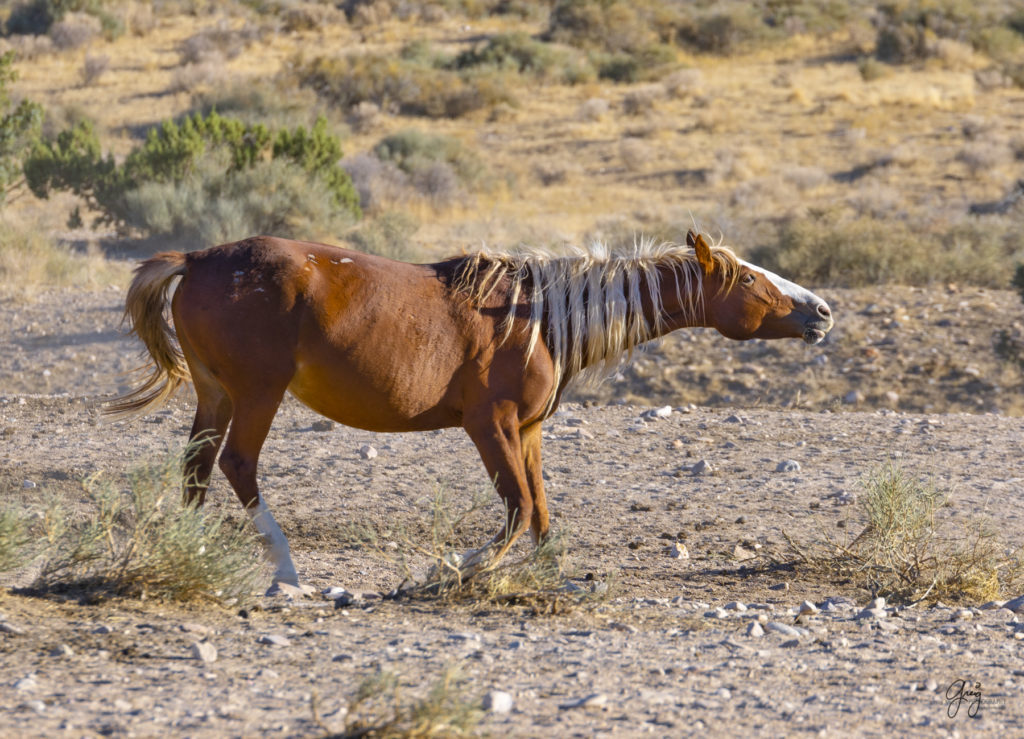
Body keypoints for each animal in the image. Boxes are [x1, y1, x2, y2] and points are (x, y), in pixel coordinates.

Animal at [108, 230, 835, 585]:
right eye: (749, 279)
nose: (822, 311)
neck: (540, 318)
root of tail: (199, 257)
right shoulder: (490, 424)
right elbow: (516, 508)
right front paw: (452, 568)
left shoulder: (529, 430)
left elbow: (541, 511)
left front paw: (553, 575)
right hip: (257, 392)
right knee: (238, 464)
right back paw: (284, 569)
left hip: (215, 393)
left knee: (197, 468)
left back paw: (193, 549)